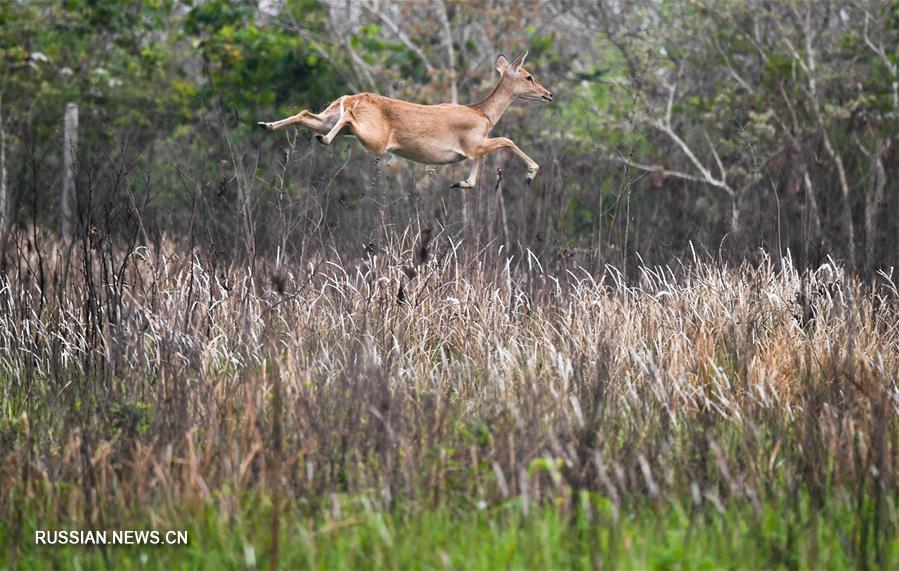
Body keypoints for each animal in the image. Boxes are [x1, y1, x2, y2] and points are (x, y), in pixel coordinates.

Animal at [256, 50, 552, 187]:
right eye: (529, 76)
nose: (548, 94)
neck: (484, 114)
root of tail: (352, 97)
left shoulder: (474, 148)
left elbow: (476, 173)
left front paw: (461, 183)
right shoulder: (473, 143)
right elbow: (508, 140)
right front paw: (530, 174)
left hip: (331, 116)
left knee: (306, 113)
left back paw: (267, 124)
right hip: (374, 137)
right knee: (347, 116)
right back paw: (322, 139)